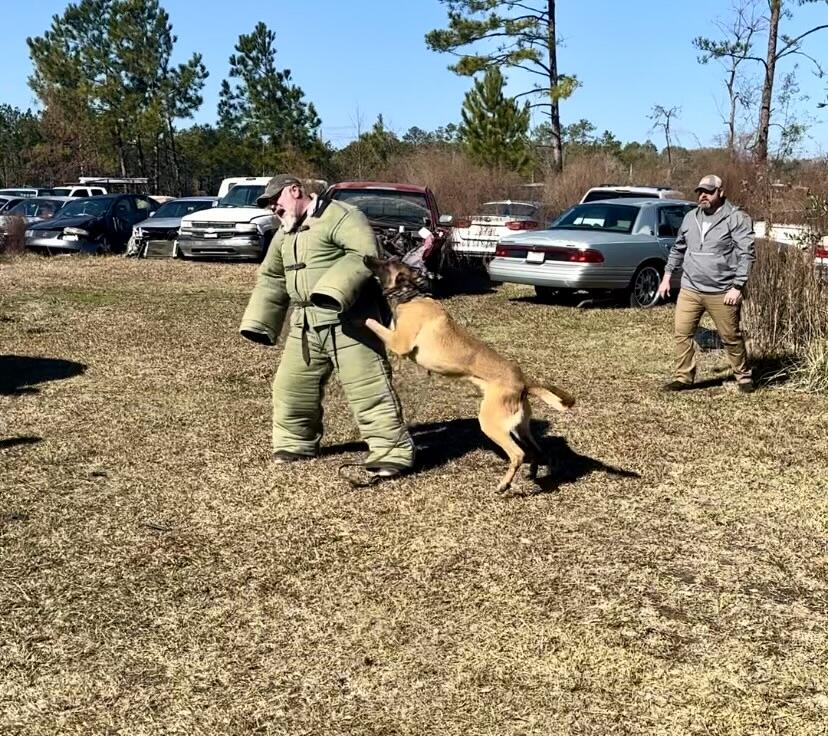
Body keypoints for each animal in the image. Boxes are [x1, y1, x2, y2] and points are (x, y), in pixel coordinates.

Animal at [366, 256, 572, 492]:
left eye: (384, 263)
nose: (365, 257)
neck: (411, 295)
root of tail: (523, 382)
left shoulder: (399, 343)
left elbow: (370, 322)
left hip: (491, 423)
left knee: (518, 454)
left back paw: (504, 484)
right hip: (520, 427)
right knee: (536, 450)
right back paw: (533, 473)